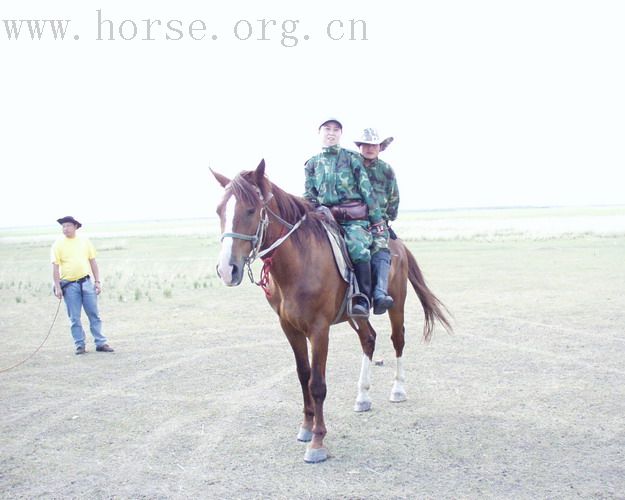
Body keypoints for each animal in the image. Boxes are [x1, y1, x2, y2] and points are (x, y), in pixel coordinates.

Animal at [210, 158, 448, 462]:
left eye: (251, 210)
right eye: (220, 210)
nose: (227, 269)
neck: (299, 261)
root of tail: (398, 244)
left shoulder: (319, 330)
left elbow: (318, 384)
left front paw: (318, 441)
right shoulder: (289, 328)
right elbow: (303, 375)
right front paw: (306, 427)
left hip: (397, 305)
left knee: (398, 341)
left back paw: (398, 389)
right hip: (356, 314)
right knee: (369, 339)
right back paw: (363, 396)